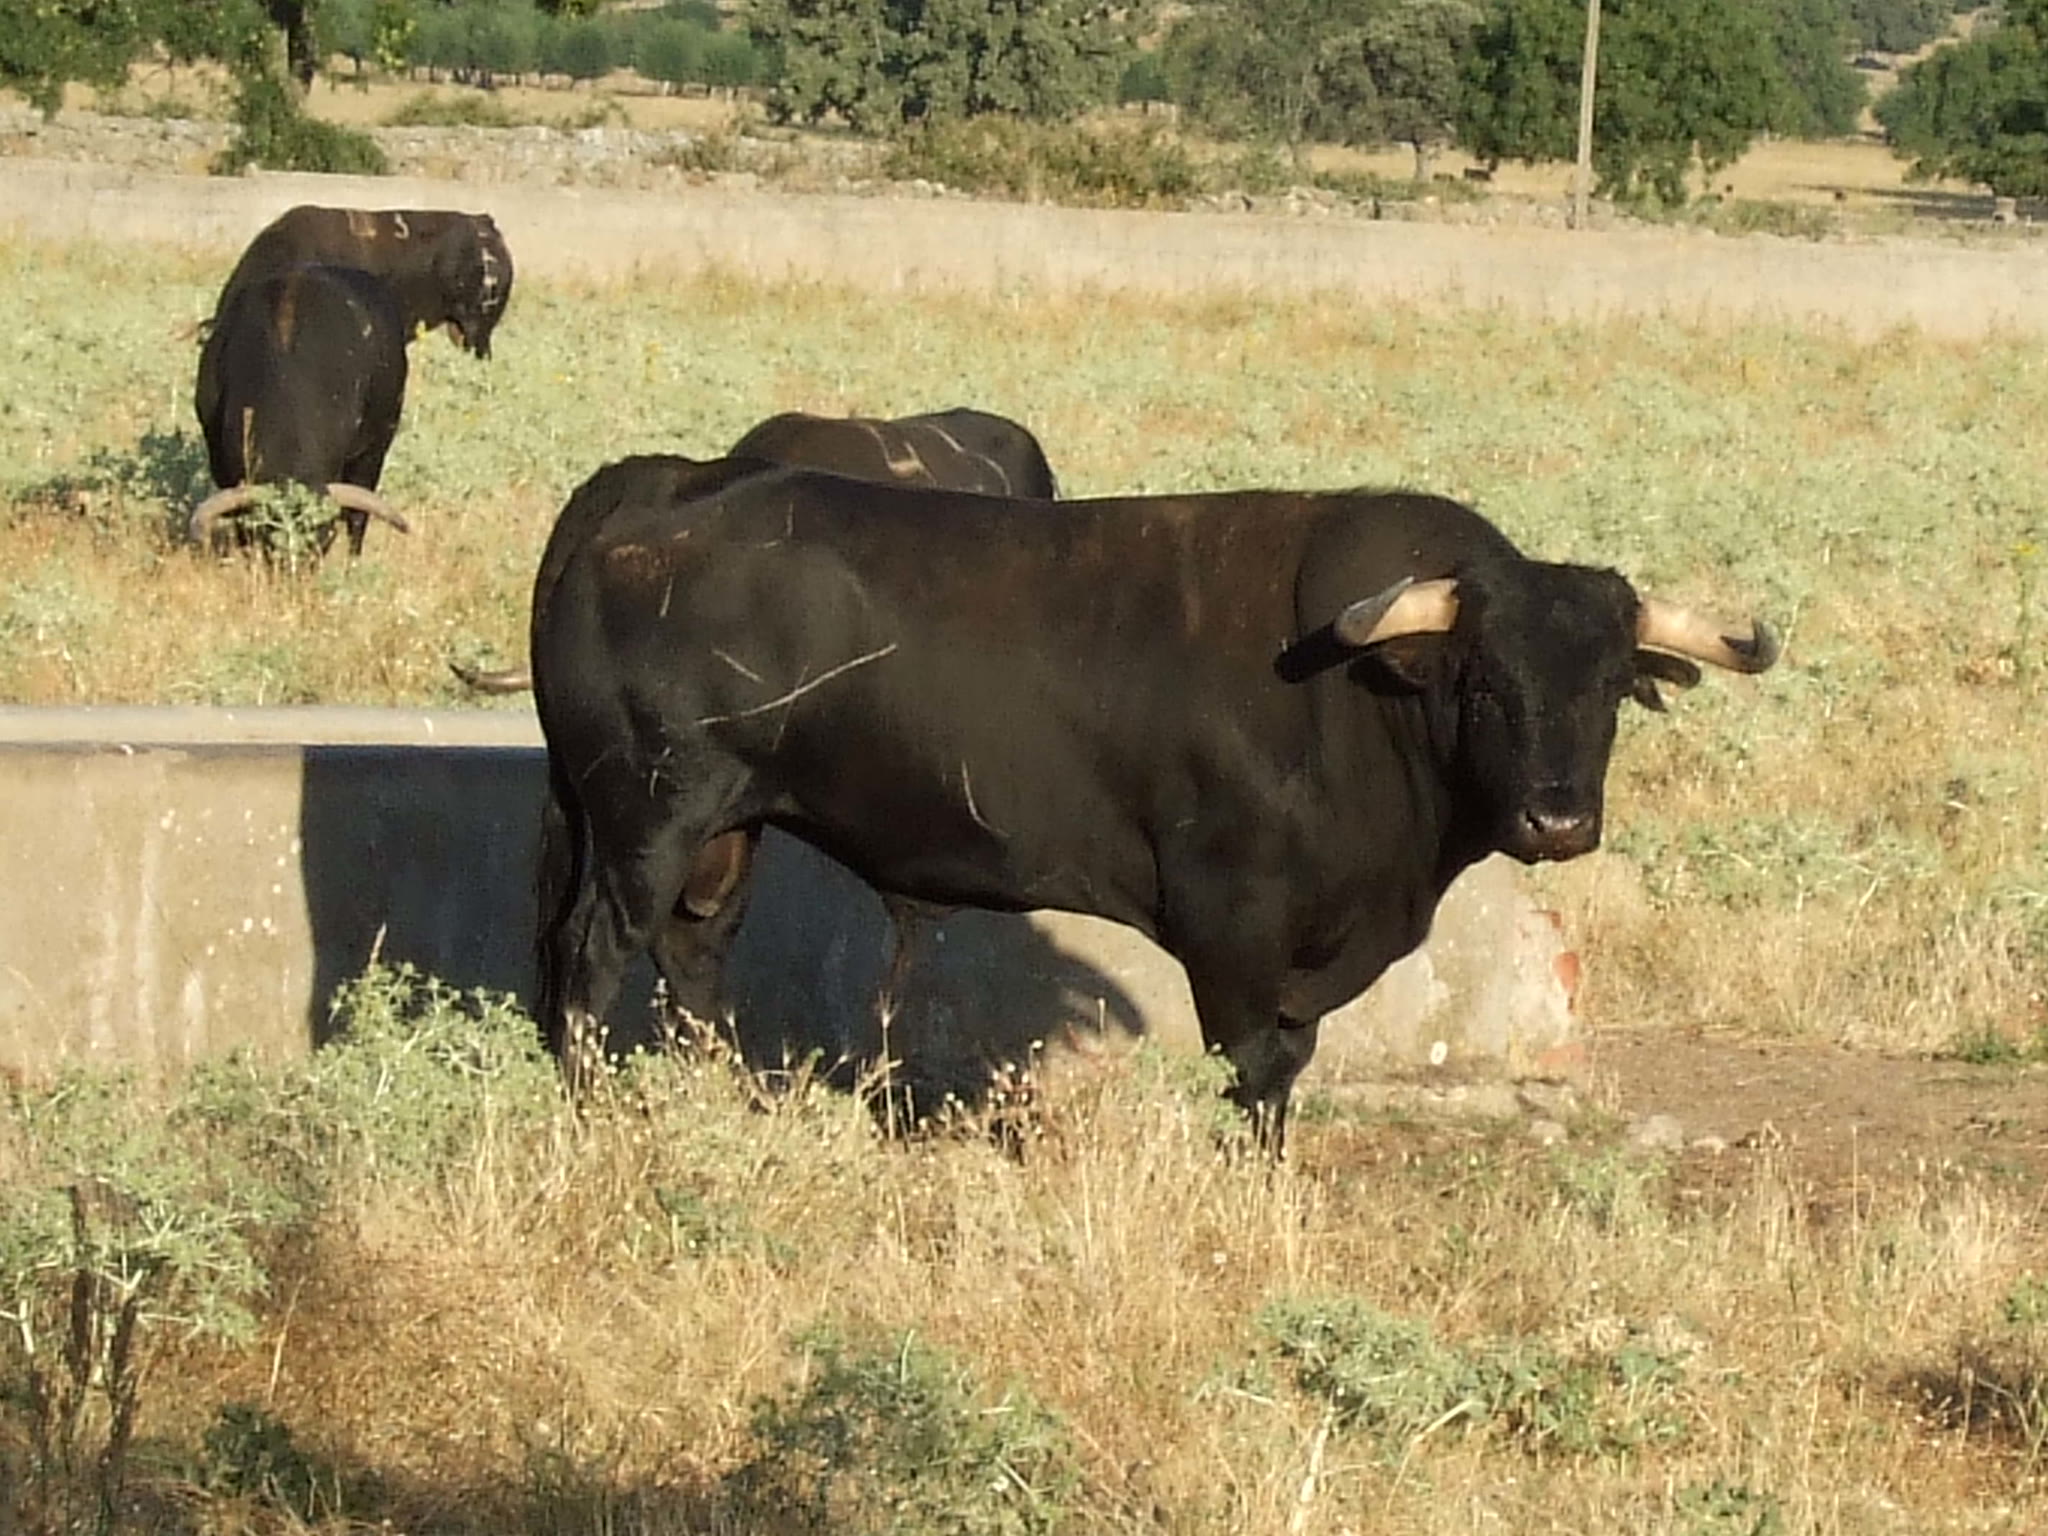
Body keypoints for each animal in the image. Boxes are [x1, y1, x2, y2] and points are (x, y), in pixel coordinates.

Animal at [529, 460, 1778, 1149]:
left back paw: (725, 1104)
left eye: (1607, 689)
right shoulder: (1230, 924)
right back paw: (588, 1111)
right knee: (591, 958)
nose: (1557, 822)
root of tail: (664, 482)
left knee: (694, 961)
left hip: (721, 832)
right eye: (1482, 682)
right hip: (648, 816)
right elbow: (1256, 1069)